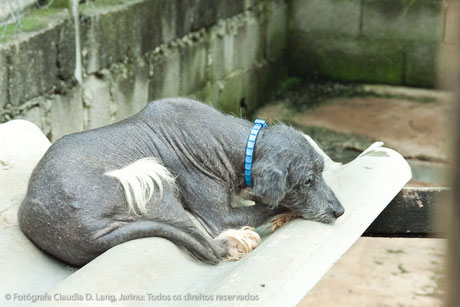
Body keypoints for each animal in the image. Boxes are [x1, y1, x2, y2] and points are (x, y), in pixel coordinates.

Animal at [18, 98, 344, 268]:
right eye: (308, 180)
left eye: (322, 171)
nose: (339, 211)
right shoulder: (219, 216)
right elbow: (266, 207)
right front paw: (285, 211)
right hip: (150, 179)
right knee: (210, 248)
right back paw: (235, 242)